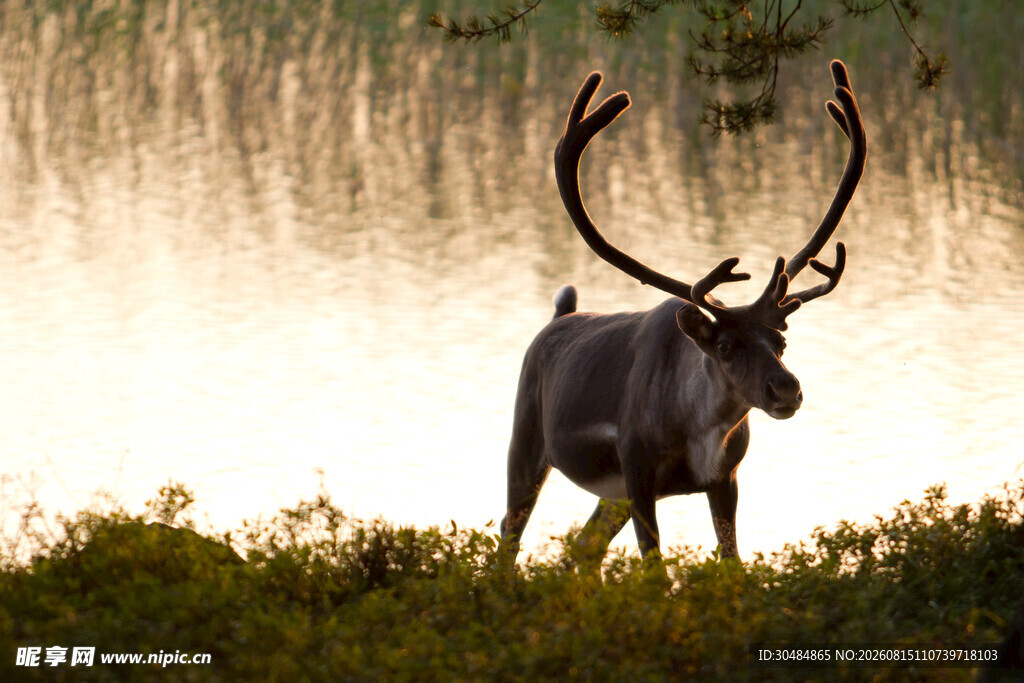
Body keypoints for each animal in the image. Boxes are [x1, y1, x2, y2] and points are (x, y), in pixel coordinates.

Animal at [500, 60, 866, 561]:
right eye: (726, 346)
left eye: (782, 340)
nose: (786, 390)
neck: (702, 429)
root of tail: (556, 319)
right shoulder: (637, 471)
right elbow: (655, 567)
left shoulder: (726, 478)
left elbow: (732, 562)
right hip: (528, 442)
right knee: (509, 533)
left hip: (609, 494)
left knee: (584, 545)